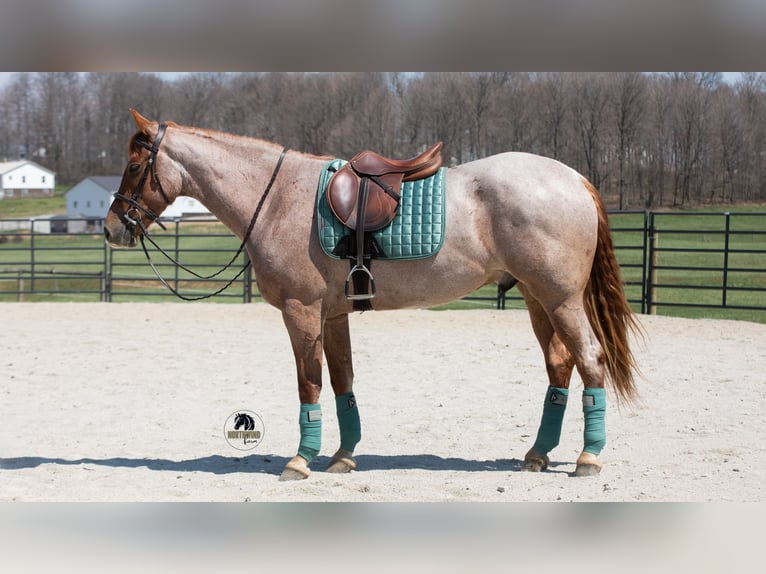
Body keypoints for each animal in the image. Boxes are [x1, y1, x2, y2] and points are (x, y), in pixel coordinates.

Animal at [104, 109, 641, 481]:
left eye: (133, 165)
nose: (112, 228)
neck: (276, 198)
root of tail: (574, 178)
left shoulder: (302, 312)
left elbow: (309, 383)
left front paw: (300, 461)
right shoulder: (332, 315)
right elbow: (342, 381)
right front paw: (343, 456)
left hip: (561, 299)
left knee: (590, 359)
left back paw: (588, 457)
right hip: (535, 298)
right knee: (560, 367)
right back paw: (537, 454)